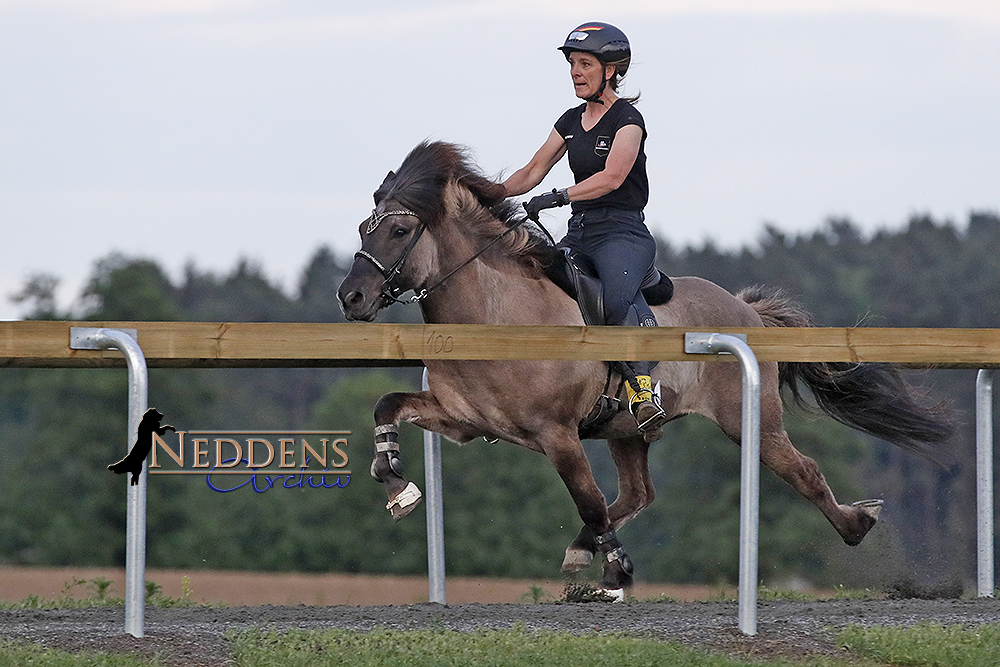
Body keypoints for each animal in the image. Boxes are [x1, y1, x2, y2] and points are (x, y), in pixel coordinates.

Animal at [338, 140, 952, 596]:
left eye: (398, 231)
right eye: (365, 228)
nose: (351, 297)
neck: (495, 312)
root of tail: (745, 308)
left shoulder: (558, 434)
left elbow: (585, 496)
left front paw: (619, 568)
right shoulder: (463, 420)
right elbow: (386, 405)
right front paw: (395, 483)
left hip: (749, 421)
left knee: (801, 470)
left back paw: (857, 524)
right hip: (626, 428)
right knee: (637, 495)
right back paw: (585, 546)